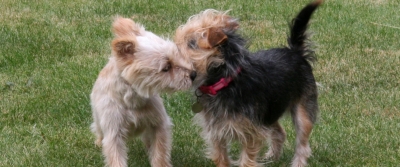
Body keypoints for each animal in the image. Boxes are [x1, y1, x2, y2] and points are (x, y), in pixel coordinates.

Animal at [91, 16, 197, 167]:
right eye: (166, 67)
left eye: (177, 55)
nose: (193, 74)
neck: (132, 100)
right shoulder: (113, 133)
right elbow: (116, 157)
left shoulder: (159, 124)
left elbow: (160, 151)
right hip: (99, 119)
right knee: (99, 131)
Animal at [175, 0, 322, 166]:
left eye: (191, 44)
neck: (224, 81)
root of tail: (295, 52)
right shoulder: (216, 133)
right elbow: (221, 158)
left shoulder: (251, 133)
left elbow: (247, 160)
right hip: (269, 112)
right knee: (280, 132)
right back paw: (272, 157)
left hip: (303, 111)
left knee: (302, 145)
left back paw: (297, 162)